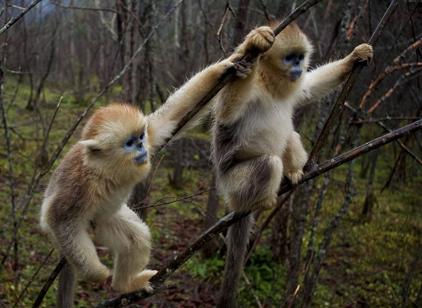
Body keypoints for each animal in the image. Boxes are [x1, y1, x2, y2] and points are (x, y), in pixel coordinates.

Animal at [39, 27, 270, 306]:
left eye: (140, 137)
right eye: (129, 143)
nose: (142, 149)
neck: (106, 169)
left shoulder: (151, 133)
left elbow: (169, 118)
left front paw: (235, 59)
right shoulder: (78, 185)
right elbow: (58, 218)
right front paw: (97, 273)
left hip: (106, 220)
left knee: (136, 238)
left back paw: (126, 285)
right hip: (77, 235)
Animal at [213, 23, 374, 306]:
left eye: (300, 57)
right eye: (290, 58)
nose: (298, 67)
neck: (270, 85)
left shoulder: (295, 87)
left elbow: (307, 89)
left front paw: (356, 56)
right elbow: (227, 114)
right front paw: (252, 45)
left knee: (290, 136)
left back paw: (295, 173)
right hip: (233, 184)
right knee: (268, 163)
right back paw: (264, 201)